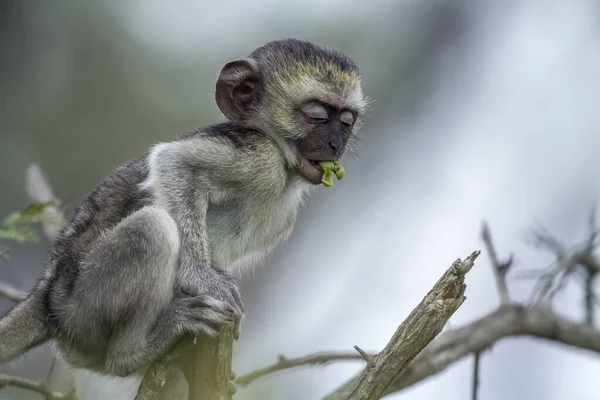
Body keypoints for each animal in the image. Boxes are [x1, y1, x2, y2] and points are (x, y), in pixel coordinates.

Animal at [0, 39, 366, 378]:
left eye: (346, 122)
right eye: (317, 115)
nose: (335, 144)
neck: (285, 168)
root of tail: (49, 295)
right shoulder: (259, 156)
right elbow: (174, 162)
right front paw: (204, 279)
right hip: (82, 311)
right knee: (152, 228)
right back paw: (132, 352)